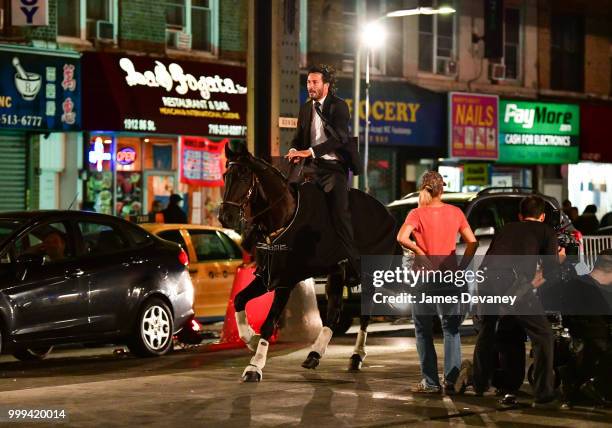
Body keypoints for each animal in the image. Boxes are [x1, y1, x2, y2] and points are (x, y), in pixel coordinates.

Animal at [218, 144, 400, 382]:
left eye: (243, 175)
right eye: (225, 176)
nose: (225, 218)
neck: (283, 216)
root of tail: (387, 213)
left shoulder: (285, 281)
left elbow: (269, 322)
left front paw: (254, 365)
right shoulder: (268, 275)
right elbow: (239, 299)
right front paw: (251, 339)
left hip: (369, 275)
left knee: (364, 314)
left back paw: (356, 355)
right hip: (336, 272)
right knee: (334, 313)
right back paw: (315, 354)